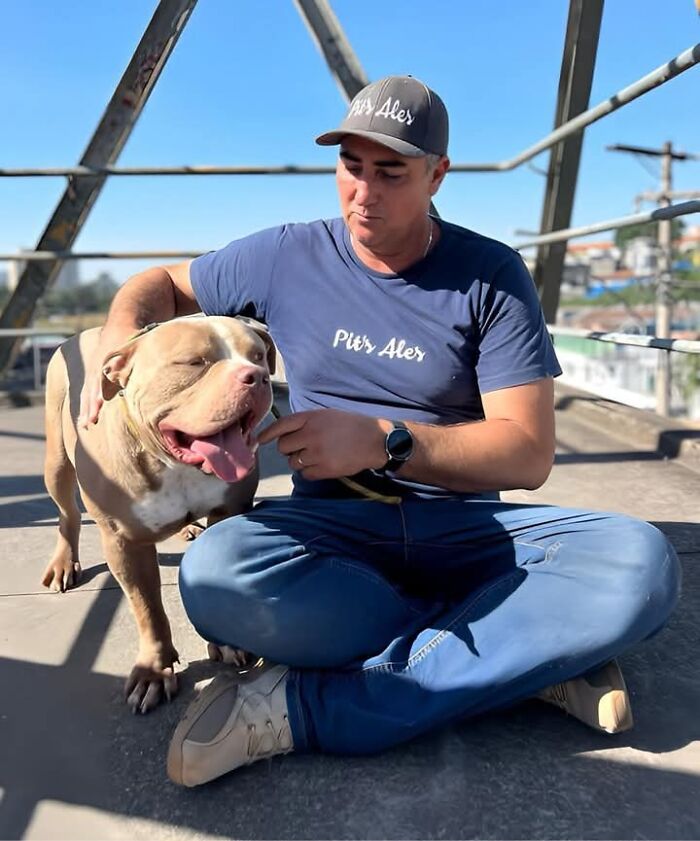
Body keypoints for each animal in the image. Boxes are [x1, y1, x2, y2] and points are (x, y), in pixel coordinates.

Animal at [40, 318, 276, 712]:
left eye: (258, 356)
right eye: (194, 362)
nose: (256, 376)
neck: (174, 464)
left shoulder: (228, 510)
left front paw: (225, 641)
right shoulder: (124, 542)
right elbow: (147, 608)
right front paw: (154, 670)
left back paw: (187, 529)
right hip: (56, 460)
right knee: (66, 513)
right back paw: (63, 563)